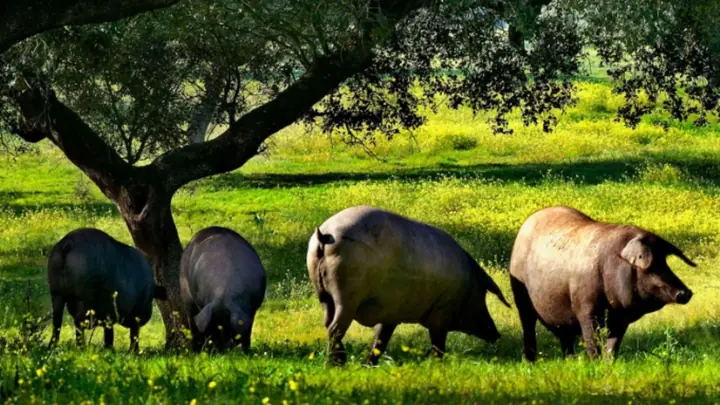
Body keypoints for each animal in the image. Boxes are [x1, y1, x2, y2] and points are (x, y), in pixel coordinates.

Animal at [307, 205, 511, 365]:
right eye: (483, 294)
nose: (497, 334)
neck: (465, 285)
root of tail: (324, 235)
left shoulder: (391, 313)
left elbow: (381, 339)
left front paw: (368, 364)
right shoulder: (441, 312)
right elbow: (438, 343)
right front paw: (437, 364)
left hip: (323, 294)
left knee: (327, 323)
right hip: (347, 296)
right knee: (335, 328)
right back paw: (335, 364)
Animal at [509, 206, 695, 361]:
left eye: (665, 262)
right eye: (651, 266)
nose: (686, 292)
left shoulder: (621, 317)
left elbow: (614, 342)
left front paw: (609, 363)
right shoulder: (585, 307)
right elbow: (591, 338)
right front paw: (595, 362)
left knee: (566, 337)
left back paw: (570, 360)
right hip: (521, 298)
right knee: (528, 326)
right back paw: (530, 361)